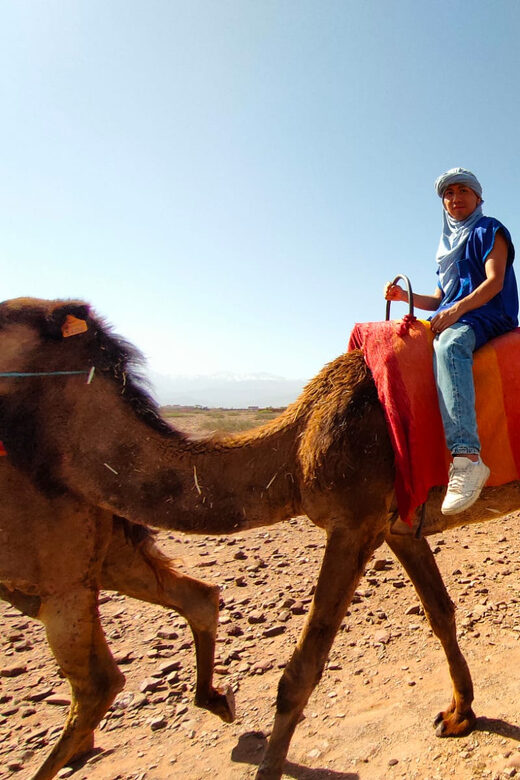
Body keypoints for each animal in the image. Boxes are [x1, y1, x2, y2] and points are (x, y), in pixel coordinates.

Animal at [1, 296, 518, 780]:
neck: (295, 449)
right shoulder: (396, 525)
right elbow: (440, 613)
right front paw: (459, 715)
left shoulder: (353, 524)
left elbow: (302, 669)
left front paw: (268, 762)